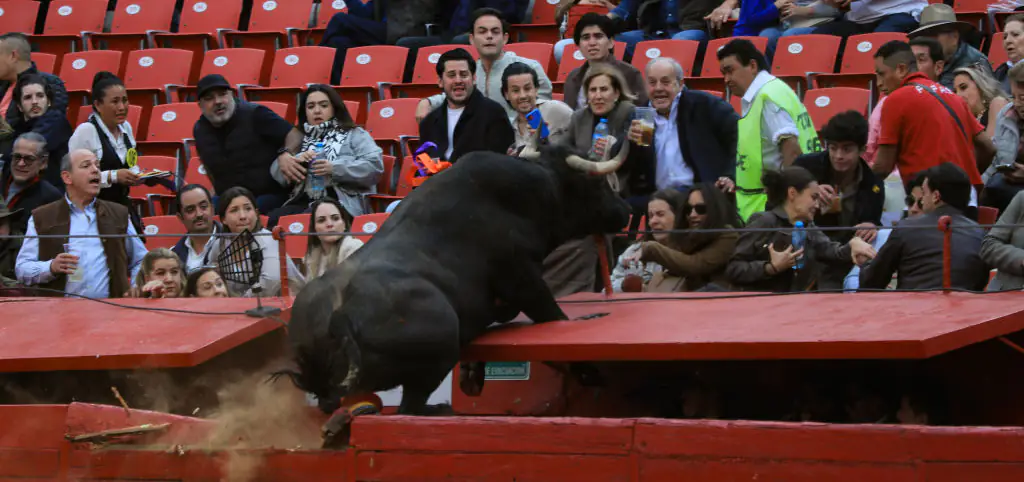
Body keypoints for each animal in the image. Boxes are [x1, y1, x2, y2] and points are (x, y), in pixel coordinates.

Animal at [278, 138, 632, 446]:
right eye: (597, 184)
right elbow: (552, 316)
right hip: (439, 353)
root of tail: (339, 316)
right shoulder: (523, 278)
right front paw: (589, 371)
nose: (625, 211)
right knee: (409, 409)